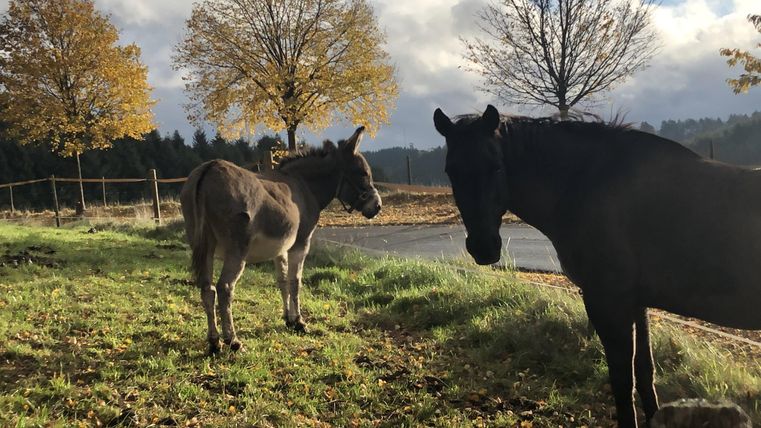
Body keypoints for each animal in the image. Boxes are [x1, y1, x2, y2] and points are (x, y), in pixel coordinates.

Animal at [180, 127, 381, 354]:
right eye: (363, 173)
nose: (378, 207)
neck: (305, 186)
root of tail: (209, 169)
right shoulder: (301, 243)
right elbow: (295, 282)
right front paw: (300, 322)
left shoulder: (281, 247)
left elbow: (282, 280)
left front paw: (288, 318)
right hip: (236, 249)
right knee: (225, 288)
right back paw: (233, 340)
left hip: (203, 245)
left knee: (207, 289)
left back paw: (214, 342)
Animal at [434, 105, 761, 427]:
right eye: (451, 171)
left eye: (496, 167)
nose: (483, 247)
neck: (587, 184)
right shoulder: (636, 303)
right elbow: (644, 372)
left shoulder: (608, 303)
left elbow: (622, 382)